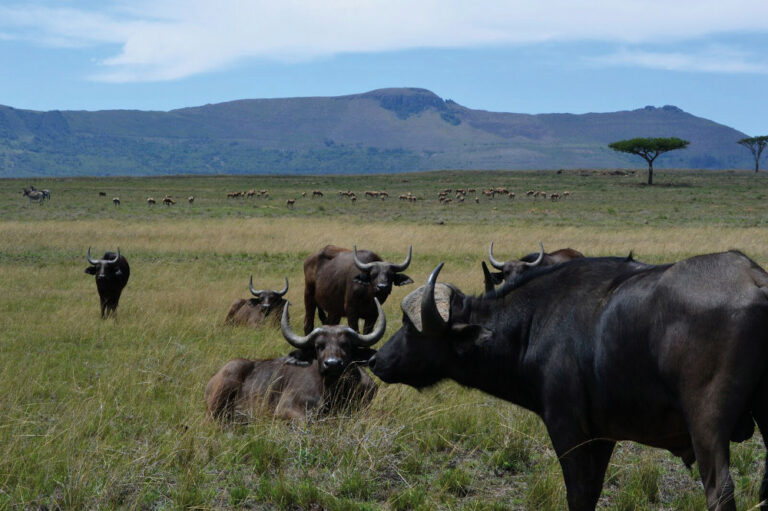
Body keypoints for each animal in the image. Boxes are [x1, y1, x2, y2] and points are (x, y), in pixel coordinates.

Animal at [370, 253, 768, 510]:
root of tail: (756, 281)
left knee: (720, 490)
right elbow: (591, 493)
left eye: (409, 327)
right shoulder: (603, 436)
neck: (535, 322)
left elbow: (577, 495)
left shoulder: (568, 430)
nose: (375, 359)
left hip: (706, 422)